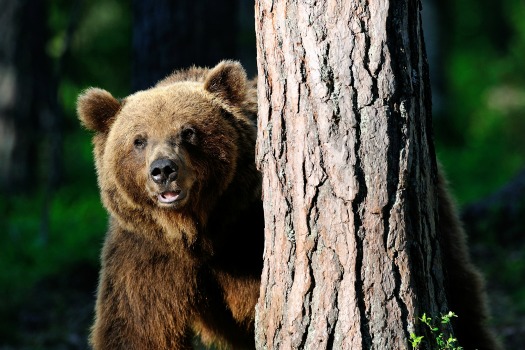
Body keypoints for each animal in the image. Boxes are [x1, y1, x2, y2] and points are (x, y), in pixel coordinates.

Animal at [76, 61, 264, 348]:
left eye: (188, 131)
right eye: (139, 140)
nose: (163, 169)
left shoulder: (246, 234)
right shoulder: (146, 256)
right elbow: (137, 330)